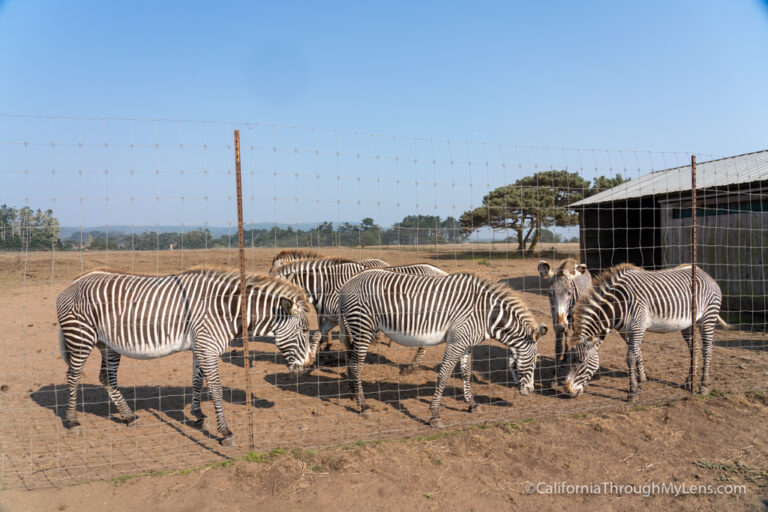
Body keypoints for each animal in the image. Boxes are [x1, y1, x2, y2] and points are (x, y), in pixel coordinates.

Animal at [54, 268, 314, 444]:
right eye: (304, 330)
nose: (308, 365)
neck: (226, 310)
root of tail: (75, 282)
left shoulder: (200, 347)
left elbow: (198, 381)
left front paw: (198, 414)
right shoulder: (208, 347)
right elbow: (216, 389)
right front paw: (224, 431)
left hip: (106, 344)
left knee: (107, 377)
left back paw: (128, 416)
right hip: (81, 337)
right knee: (73, 376)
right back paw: (72, 420)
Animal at [272, 258, 448, 370]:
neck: (326, 285)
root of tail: (442, 272)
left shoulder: (345, 316)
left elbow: (346, 339)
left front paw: (350, 357)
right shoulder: (332, 317)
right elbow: (316, 335)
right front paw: (313, 361)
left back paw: (413, 366)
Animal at [338, 270, 544, 426]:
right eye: (534, 361)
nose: (531, 391)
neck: (486, 315)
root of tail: (346, 285)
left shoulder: (466, 343)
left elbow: (466, 373)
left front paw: (472, 404)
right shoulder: (456, 341)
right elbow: (444, 374)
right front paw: (434, 414)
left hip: (357, 329)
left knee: (351, 362)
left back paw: (353, 394)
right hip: (364, 327)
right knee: (356, 365)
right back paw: (363, 406)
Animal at [540, 258, 592, 386]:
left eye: (569, 293)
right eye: (550, 293)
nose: (561, 325)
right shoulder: (555, 319)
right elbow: (558, 348)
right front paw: (554, 378)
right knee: (567, 335)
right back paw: (565, 358)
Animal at [564, 264, 728, 400]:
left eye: (582, 362)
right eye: (570, 360)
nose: (569, 391)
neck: (618, 305)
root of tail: (704, 273)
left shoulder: (638, 326)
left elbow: (630, 358)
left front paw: (633, 392)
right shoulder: (627, 331)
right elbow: (637, 353)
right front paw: (641, 382)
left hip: (708, 316)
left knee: (707, 349)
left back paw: (703, 386)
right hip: (689, 324)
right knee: (694, 348)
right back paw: (689, 381)